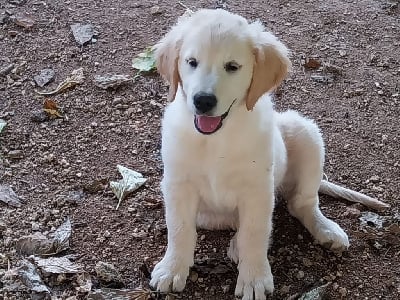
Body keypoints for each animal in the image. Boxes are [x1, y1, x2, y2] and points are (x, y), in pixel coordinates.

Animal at [149, 8, 388, 300]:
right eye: (191, 62)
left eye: (232, 67)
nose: (203, 101)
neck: (217, 138)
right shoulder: (177, 184)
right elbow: (179, 228)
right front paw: (172, 269)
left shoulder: (258, 188)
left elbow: (255, 232)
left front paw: (254, 279)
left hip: (306, 133)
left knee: (301, 204)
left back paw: (326, 230)